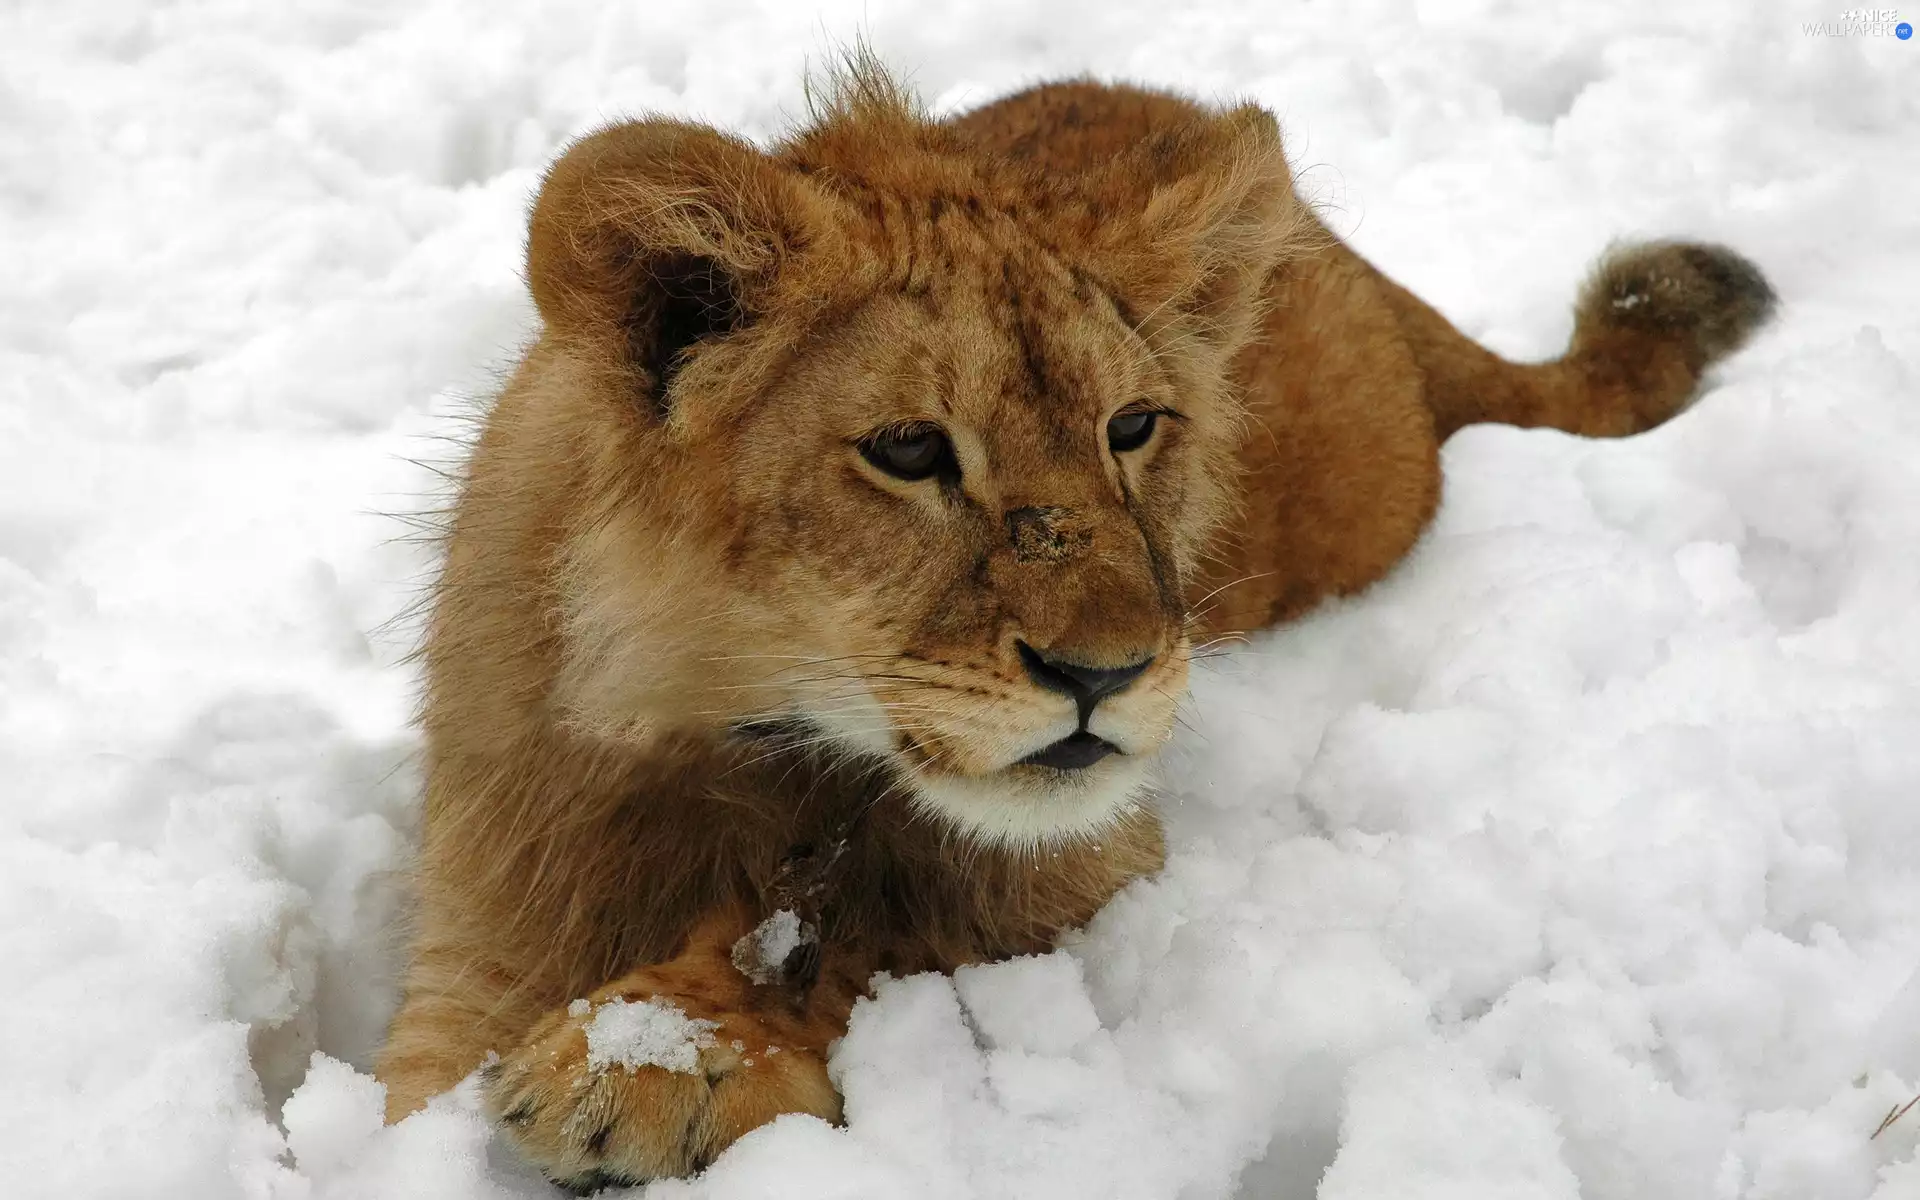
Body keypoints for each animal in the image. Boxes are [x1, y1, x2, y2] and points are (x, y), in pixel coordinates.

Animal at [373, 65, 1773, 1190]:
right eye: (908, 449)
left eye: (1133, 428)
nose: (1107, 674)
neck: (719, 726)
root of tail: (1358, 263)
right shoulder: (476, 944)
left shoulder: (1088, 862)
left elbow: (885, 914)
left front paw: (660, 1060)